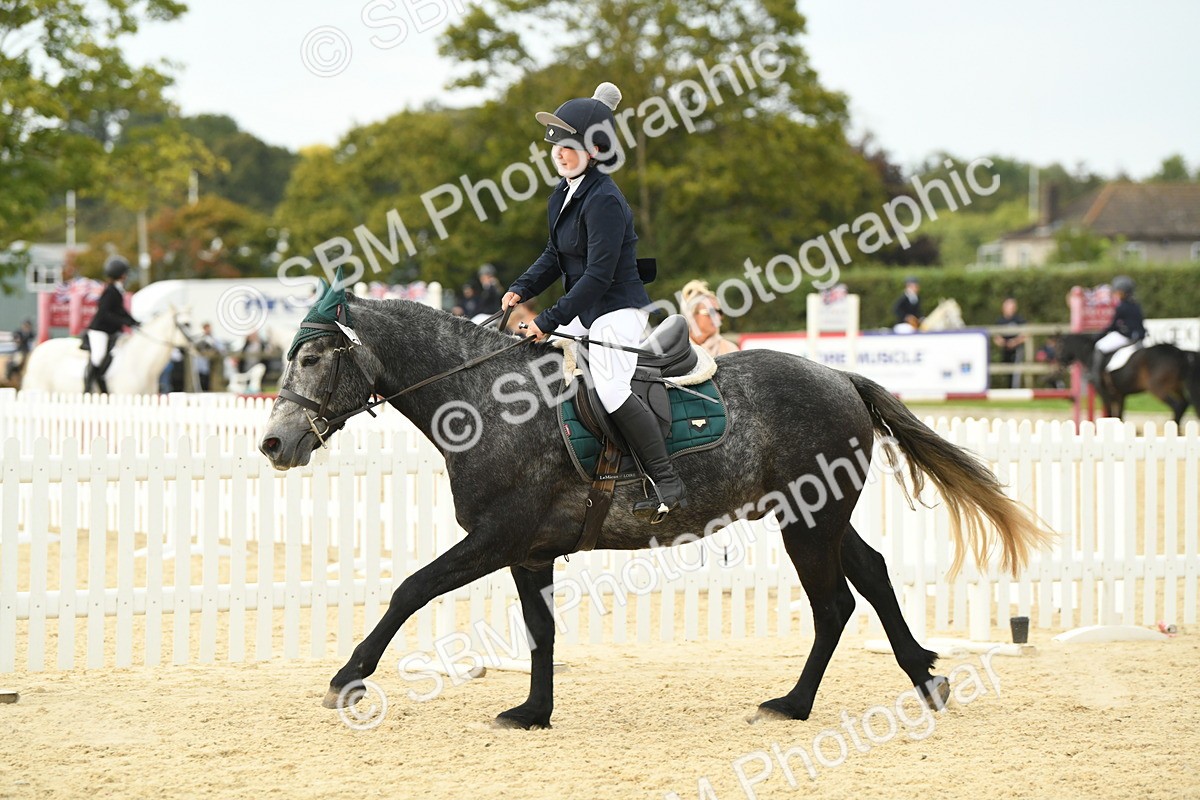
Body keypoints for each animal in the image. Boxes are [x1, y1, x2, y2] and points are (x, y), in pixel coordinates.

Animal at [260, 287, 1049, 728]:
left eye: (312, 360)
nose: (273, 443)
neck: (484, 398)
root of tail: (839, 377)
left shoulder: (496, 536)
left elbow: (409, 590)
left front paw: (347, 679)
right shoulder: (528, 550)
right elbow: (541, 632)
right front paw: (534, 714)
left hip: (808, 522)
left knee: (834, 605)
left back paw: (796, 704)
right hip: (818, 516)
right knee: (875, 576)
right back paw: (923, 677)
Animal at [1055, 333, 1197, 423]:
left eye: (1061, 346)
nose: (1060, 363)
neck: (1089, 354)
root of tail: (1178, 352)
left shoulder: (1104, 393)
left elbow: (1110, 414)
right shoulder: (1120, 394)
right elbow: (1120, 416)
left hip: (1158, 388)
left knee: (1177, 406)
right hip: (1176, 386)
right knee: (1184, 403)